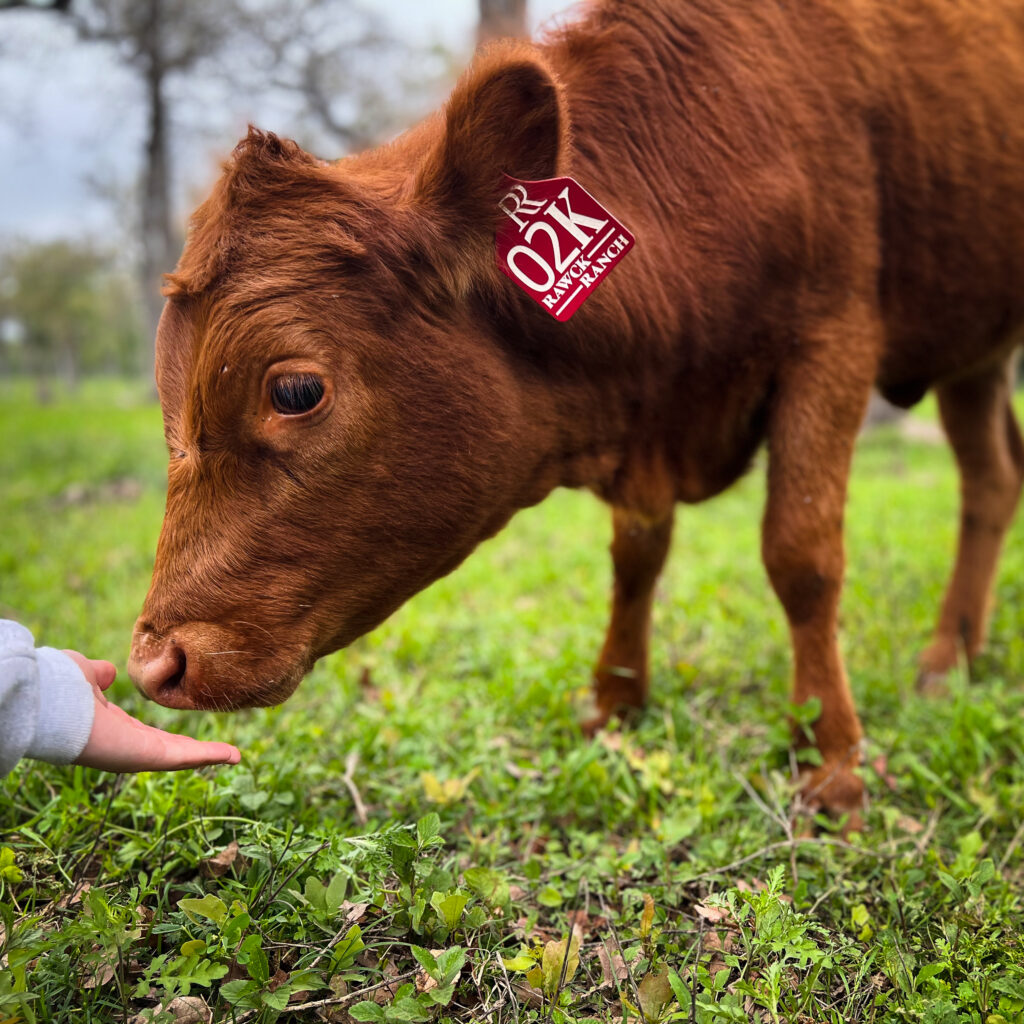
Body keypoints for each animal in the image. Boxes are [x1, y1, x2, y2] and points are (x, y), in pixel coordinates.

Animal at [130, 2, 1024, 815]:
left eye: (295, 391)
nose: (154, 664)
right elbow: (636, 553)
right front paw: (617, 701)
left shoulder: (833, 338)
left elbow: (801, 554)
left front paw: (830, 759)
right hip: (975, 356)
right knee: (993, 477)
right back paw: (954, 656)